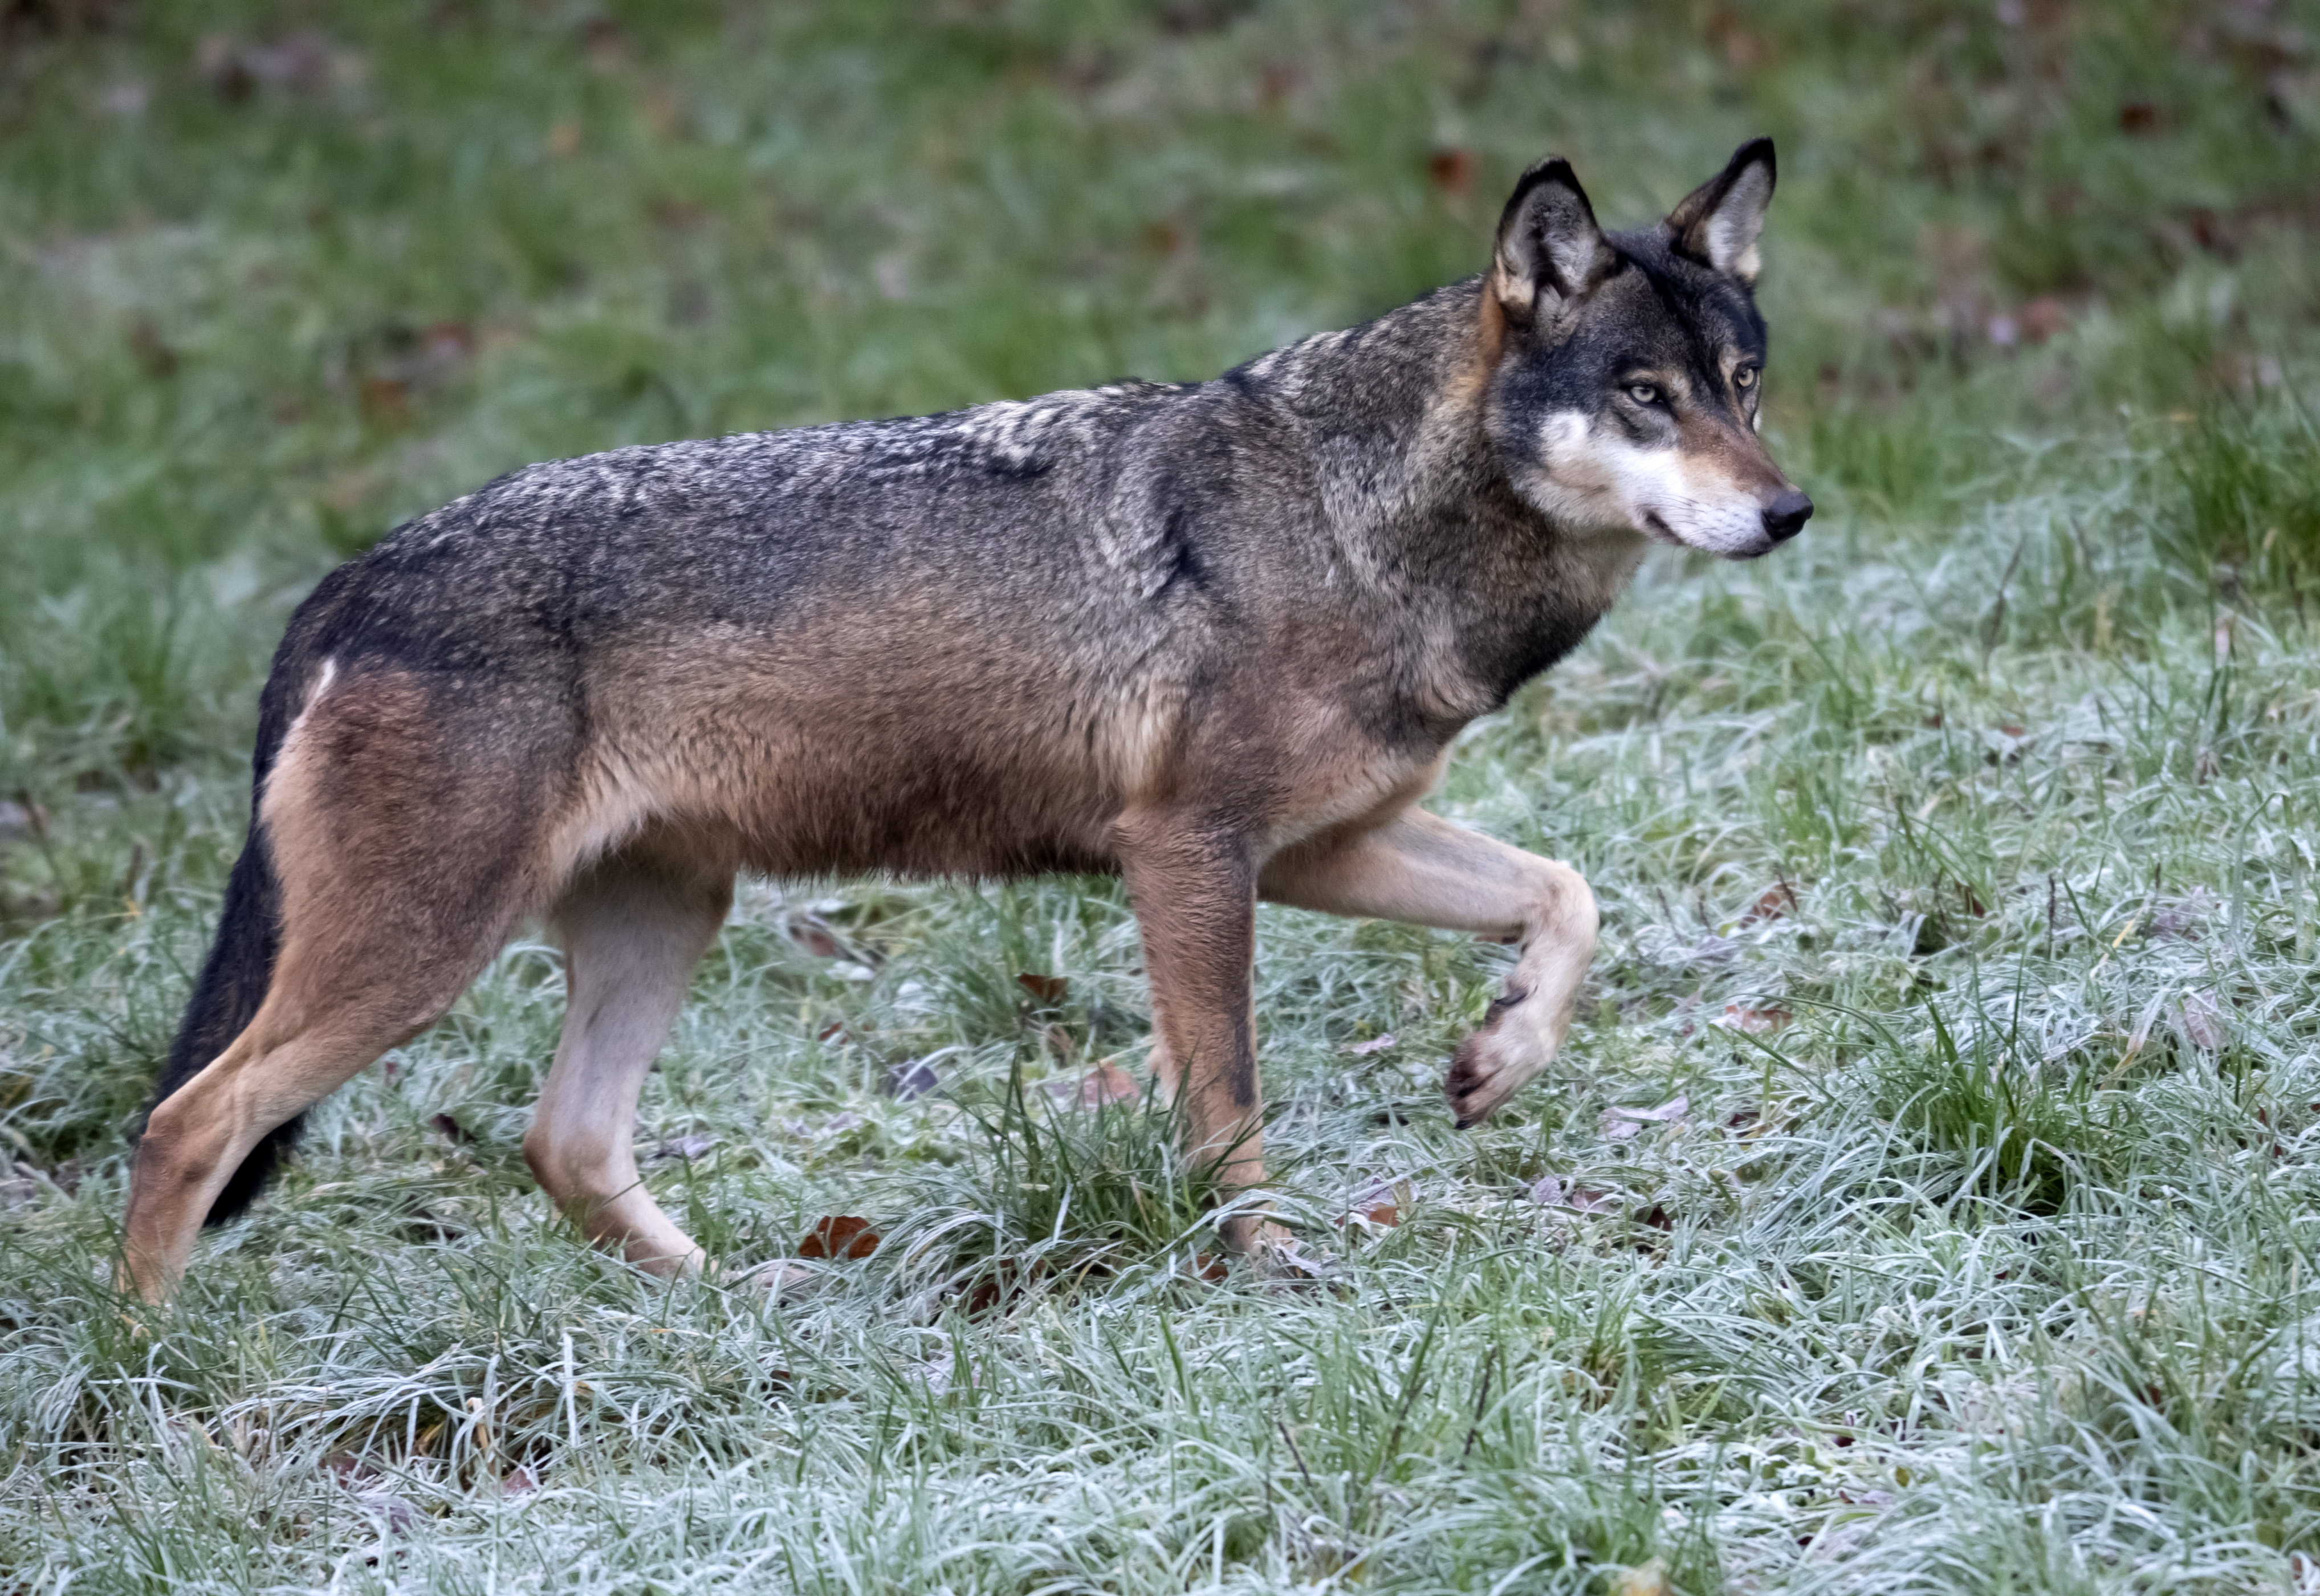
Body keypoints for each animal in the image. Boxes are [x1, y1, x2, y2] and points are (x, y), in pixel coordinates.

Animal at [122, 143, 1809, 1299]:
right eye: (1644, 396)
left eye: (1741, 383)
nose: (1789, 512)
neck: (1354, 521)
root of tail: (348, 579)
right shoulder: (1188, 854)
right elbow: (1227, 1100)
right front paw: (1265, 1270)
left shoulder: (1318, 850)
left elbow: (1568, 899)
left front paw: (1499, 1060)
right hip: (418, 959)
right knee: (184, 1127)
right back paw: (156, 1389)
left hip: (658, 923)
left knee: (565, 1144)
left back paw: (742, 1308)